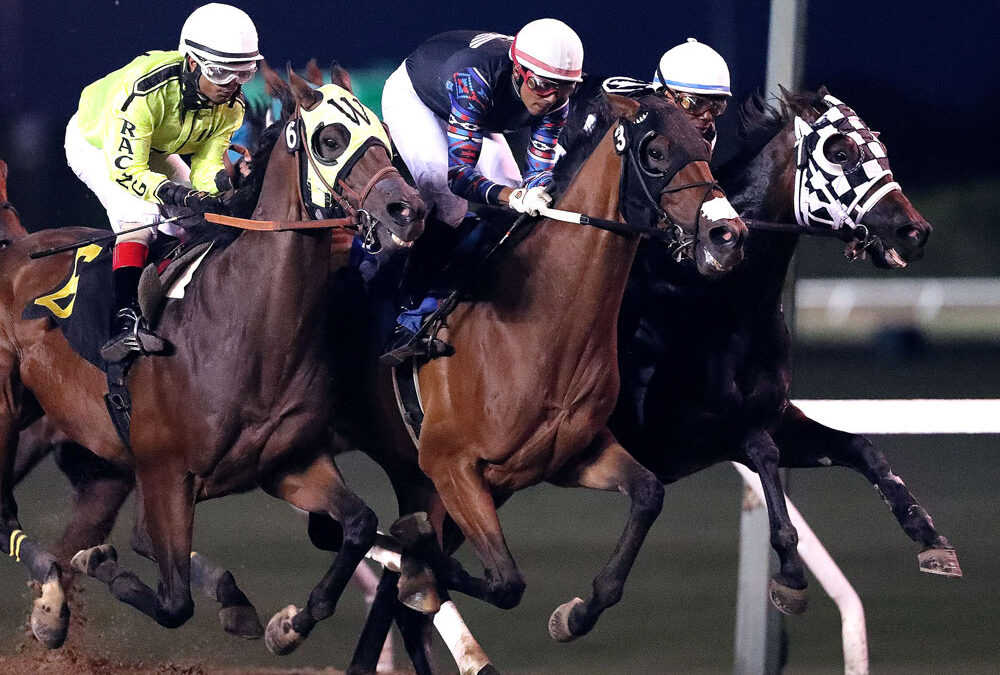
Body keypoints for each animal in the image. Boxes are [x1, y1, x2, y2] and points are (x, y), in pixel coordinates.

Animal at [0, 64, 425, 649]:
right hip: (10, 414)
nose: (408, 210)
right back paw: (51, 596)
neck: (250, 334)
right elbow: (173, 602)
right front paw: (99, 567)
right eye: (331, 139)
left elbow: (360, 524)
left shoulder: (290, 464)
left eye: (384, 135)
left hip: (95, 462)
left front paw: (288, 624)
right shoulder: (165, 474)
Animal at [608, 87, 958, 617]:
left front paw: (927, 533)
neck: (716, 296)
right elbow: (761, 450)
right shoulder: (674, 434)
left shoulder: (774, 415)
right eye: (839, 152)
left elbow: (863, 448)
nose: (913, 231)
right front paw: (791, 572)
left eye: (880, 145)